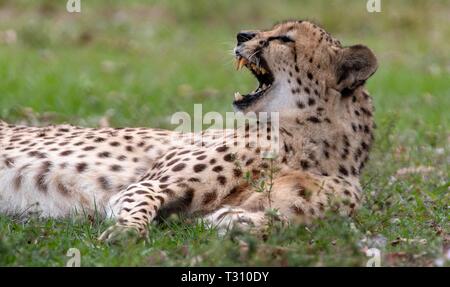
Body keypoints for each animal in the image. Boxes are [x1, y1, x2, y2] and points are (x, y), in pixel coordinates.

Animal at [0, 20, 378, 241]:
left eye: (284, 39)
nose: (242, 35)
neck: (307, 144)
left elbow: (275, 221)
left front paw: (238, 224)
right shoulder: (145, 185)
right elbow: (143, 200)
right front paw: (127, 231)